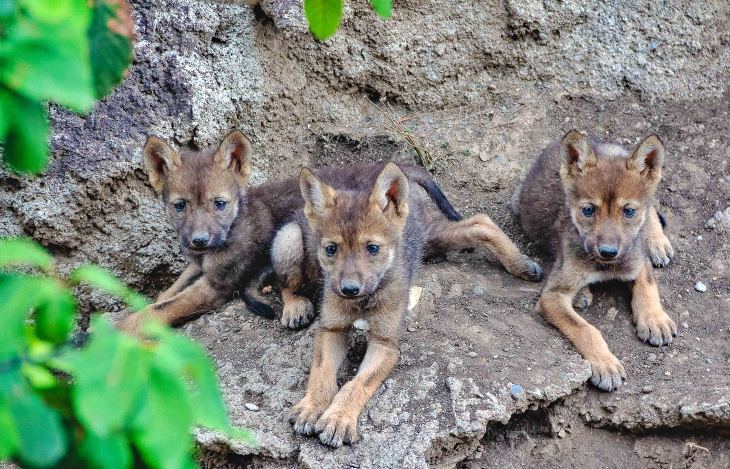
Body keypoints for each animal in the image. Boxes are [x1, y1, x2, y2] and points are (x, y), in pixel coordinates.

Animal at [513, 130, 677, 391]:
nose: (608, 251)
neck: (605, 266)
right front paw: (605, 364)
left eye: (628, 211)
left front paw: (654, 319)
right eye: (589, 210)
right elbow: (586, 329)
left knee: (651, 203)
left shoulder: (635, 257)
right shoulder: (552, 295)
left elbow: (647, 285)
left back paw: (657, 241)